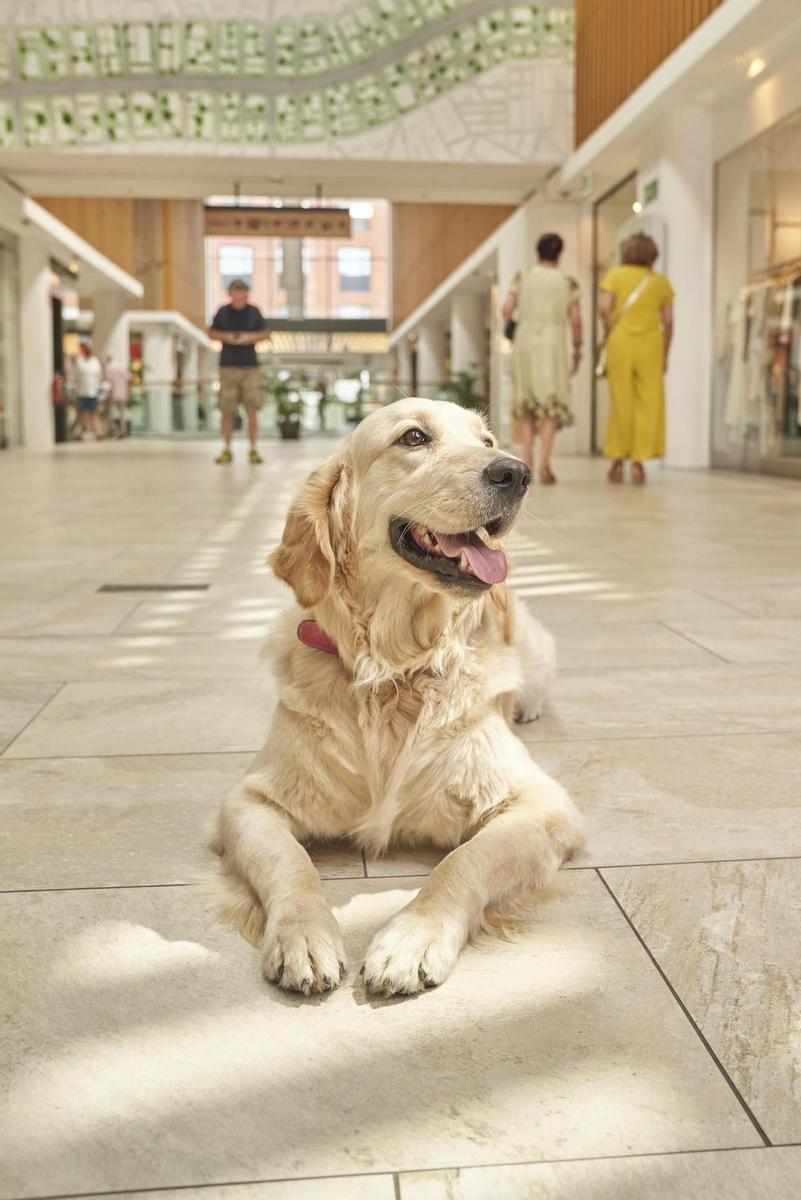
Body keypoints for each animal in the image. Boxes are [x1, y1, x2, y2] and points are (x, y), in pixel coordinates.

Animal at [214, 398, 582, 998]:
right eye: (413, 437)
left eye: (487, 441)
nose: (516, 472)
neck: (395, 672)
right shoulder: (249, 801)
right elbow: (290, 864)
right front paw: (304, 935)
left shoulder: (542, 805)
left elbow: (463, 862)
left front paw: (412, 937)